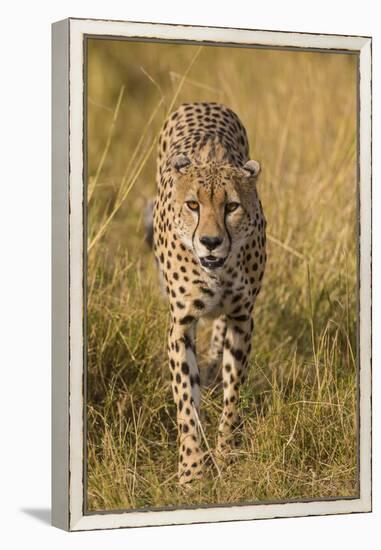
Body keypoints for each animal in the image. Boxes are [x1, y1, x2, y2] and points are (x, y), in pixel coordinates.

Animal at [151, 101, 264, 486]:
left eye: (231, 206)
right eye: (193, 205)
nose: (211, 242)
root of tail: (204, 102)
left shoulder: (242, 317)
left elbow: (233, 393)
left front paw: (227, 454)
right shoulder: (181, 323)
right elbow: (187, 402)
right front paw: (192, 471)